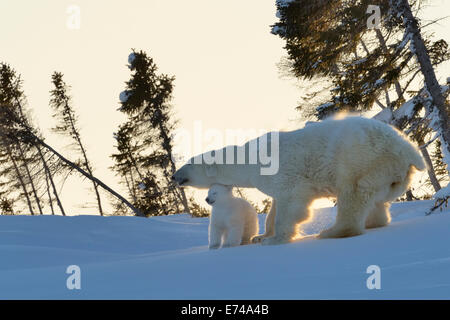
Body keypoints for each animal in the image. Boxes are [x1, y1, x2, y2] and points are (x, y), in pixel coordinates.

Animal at [172, 117, 426, 245]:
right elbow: (274, 206)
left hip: (361, 158)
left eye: (188, 163)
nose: (174, 176)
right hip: (384, 171)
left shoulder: (284, 173)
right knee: (375, 200)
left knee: (352, 193)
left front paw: (275, 239)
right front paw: (260, 236)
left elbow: (291, 202)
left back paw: (332, 231)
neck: (251, 158)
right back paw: (374, 222)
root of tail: (409, 151)